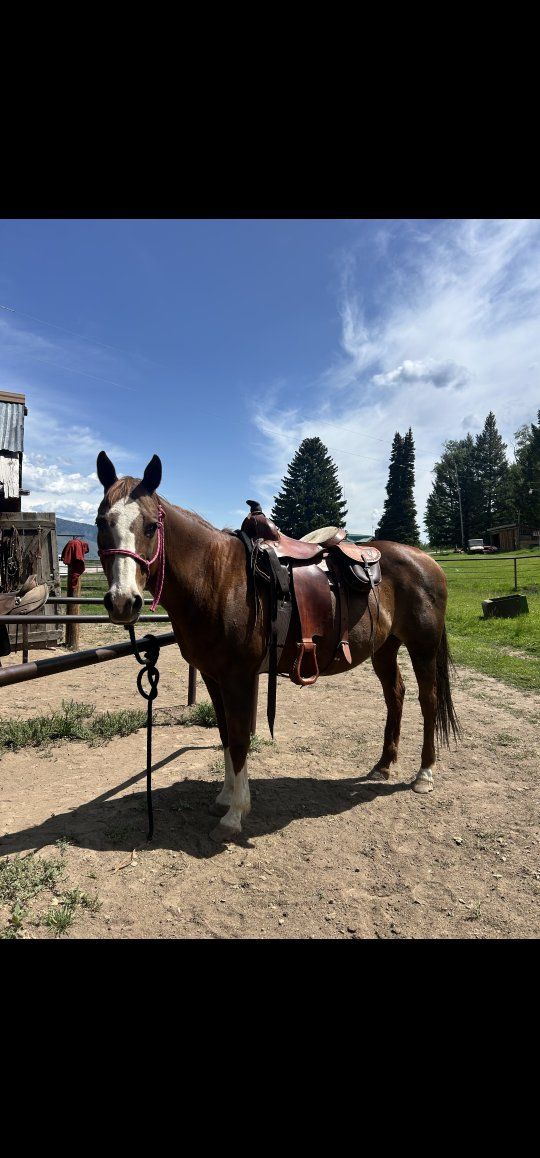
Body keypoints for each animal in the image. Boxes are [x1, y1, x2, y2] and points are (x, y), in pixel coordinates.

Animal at [95, 451, 460, 843]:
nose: (123, 602)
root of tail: (427, 561)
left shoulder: (239, 678)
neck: (217, 579)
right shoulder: (212, 676)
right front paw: (224, 798)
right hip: (385, 648)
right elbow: (225, 735)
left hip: (422, 646)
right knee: (396, 695)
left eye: (150, 527)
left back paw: (424, 774)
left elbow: (240, 738)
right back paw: (383, 766)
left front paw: (236, 814)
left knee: (428, 700)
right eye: (101, 522)